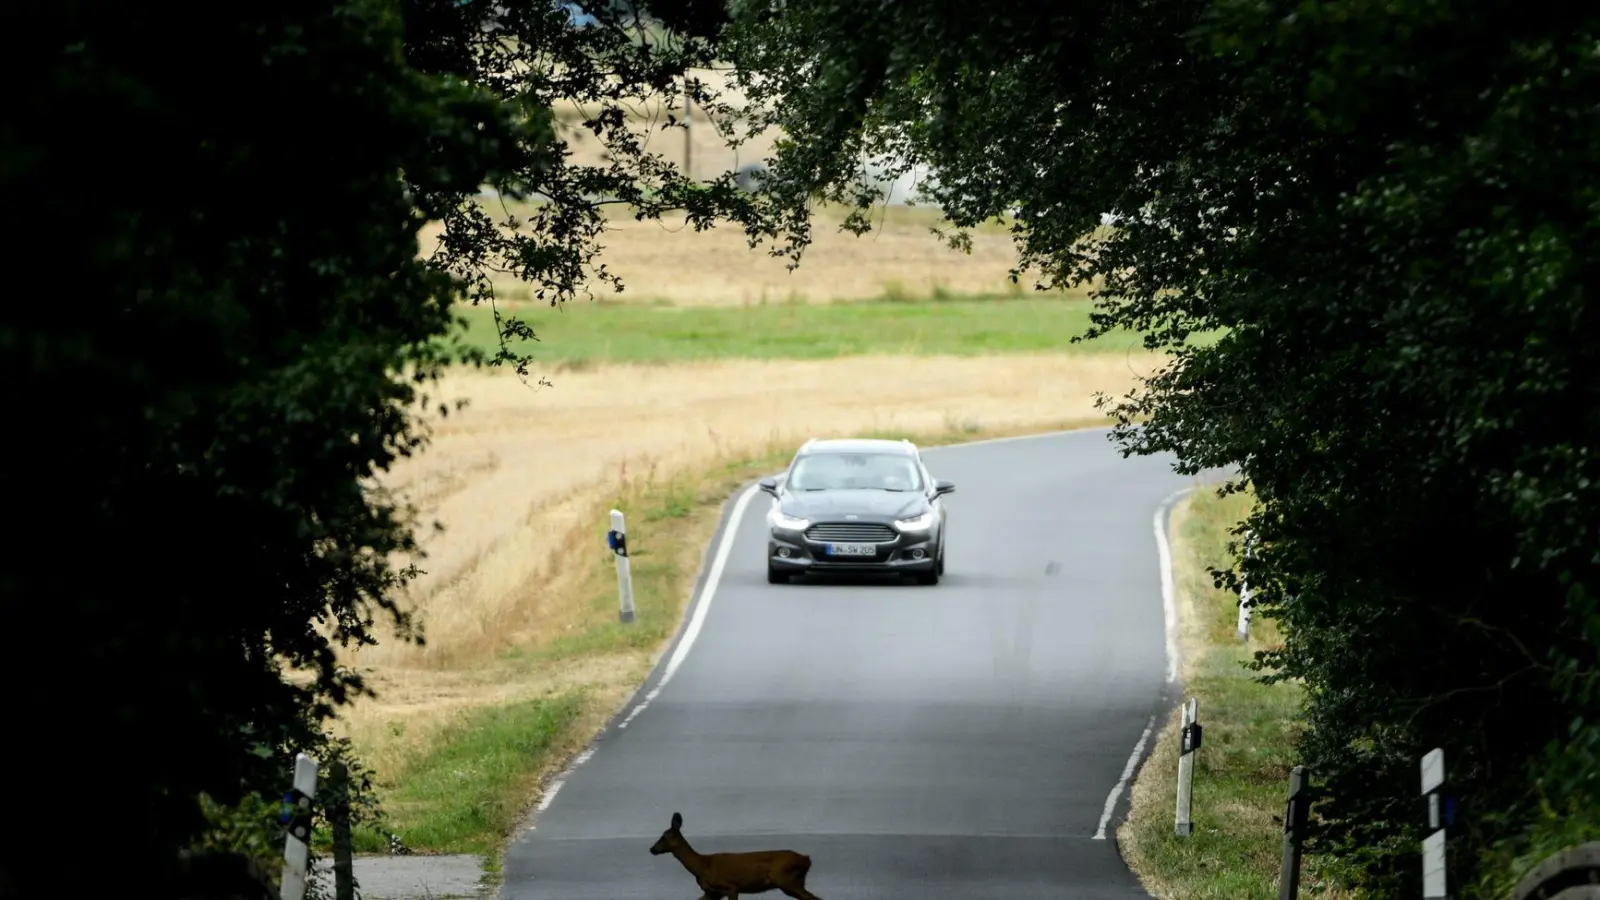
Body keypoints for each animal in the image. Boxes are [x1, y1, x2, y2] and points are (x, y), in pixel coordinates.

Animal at [649, 807, 825, 896]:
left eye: (664, 836)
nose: (652, 849)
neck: (702, 866)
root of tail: (807, 859)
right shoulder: (713, 893)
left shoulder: (731, 887)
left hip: (787, 880)